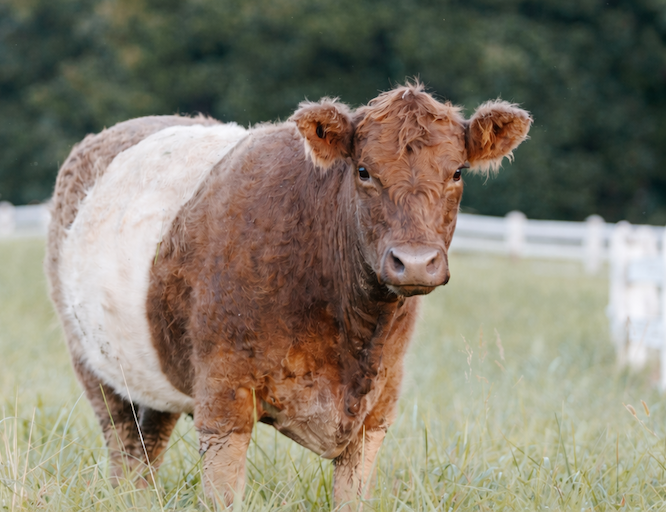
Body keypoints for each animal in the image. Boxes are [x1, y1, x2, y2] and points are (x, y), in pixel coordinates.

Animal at [45, 82, 531, 509]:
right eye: (364, 170)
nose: (414, 262)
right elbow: (220, 497)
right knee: (124, 445)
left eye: (457, 172)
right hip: (93, 364)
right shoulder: (223, 401)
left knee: (148, 444)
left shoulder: (379, 408)